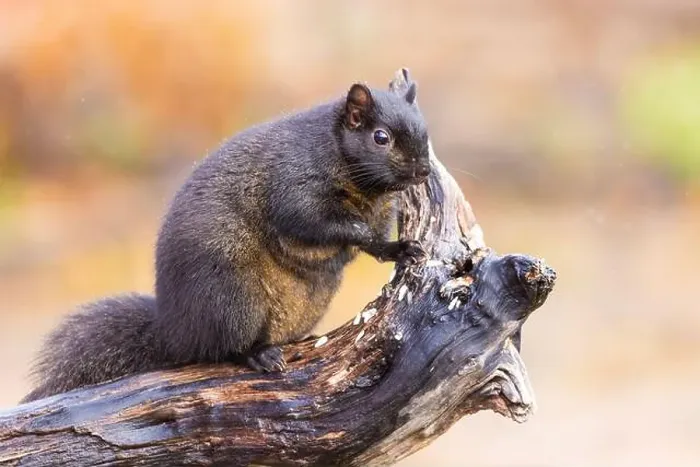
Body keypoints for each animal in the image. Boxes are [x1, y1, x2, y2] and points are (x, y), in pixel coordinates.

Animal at [21, 72, 430, 403]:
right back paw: (258, 354)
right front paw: (362, 235)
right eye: (380, 137)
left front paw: (400, 249)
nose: (423, 171)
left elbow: (375, 241)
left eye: (425, 131)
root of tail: (174, 331)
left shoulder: (382, 211)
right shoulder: (295, 184)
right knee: (222, 350)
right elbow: (312, 221)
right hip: (234, 298)